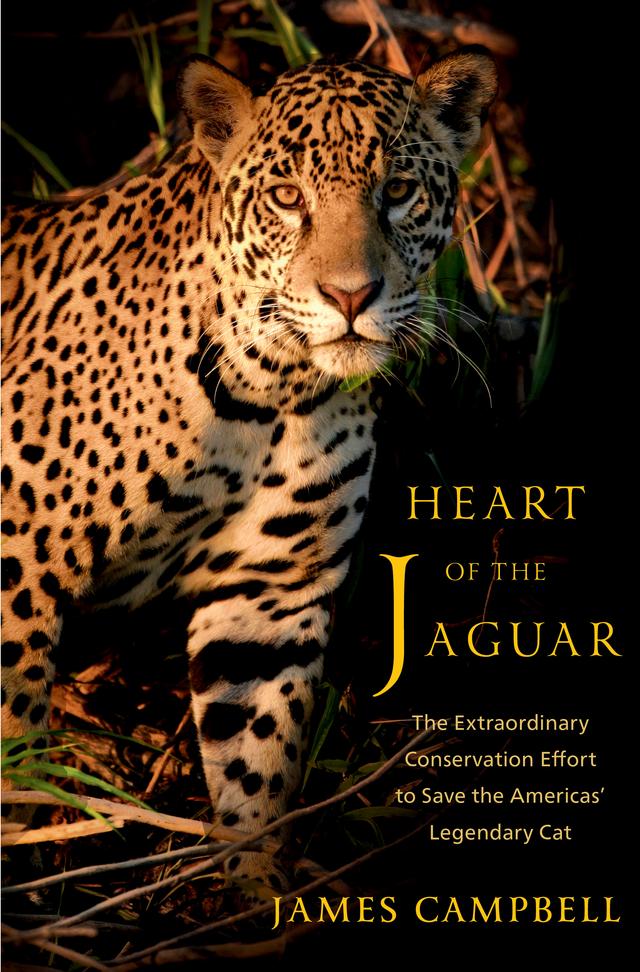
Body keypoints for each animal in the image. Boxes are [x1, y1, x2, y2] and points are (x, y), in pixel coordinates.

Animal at [1, 50, 497, 891]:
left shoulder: (269, 595)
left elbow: (258, 755)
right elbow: (10, 733)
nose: (350, 295)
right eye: (288, 198)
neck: (271, 394)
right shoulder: (17, 558)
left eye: (398, 191)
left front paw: (257, 889)